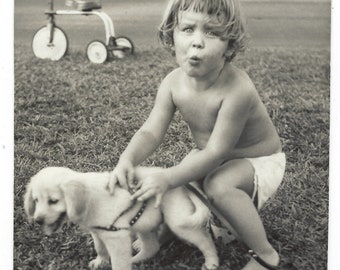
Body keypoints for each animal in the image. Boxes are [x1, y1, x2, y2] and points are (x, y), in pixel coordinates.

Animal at [24, 167, 220, 270]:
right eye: (36, 200)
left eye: (53, 201)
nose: (38, 220)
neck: (89, 199)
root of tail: (184, 185)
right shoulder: (98, 232)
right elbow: (100, 248)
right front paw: (100, 261)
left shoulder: (116, 236)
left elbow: (118, 262)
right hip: (144, 221)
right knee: (152, 246)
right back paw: (137, 259)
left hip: (178, 220)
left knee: (205, 239)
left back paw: (212, 262)